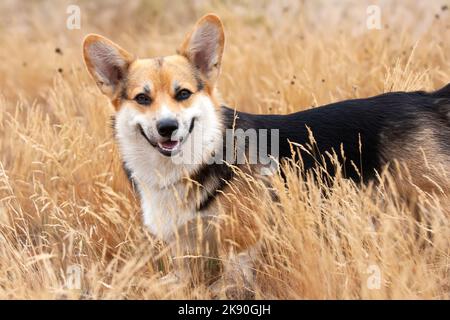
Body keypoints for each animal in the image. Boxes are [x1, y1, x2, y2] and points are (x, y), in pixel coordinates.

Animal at [82, 12, 448, 298]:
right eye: (142, 99)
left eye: (182, 94)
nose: (167, 127)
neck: (189, 164)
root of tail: (427, 99)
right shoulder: (186, 255)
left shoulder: (241, 243)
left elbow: (230, 286)